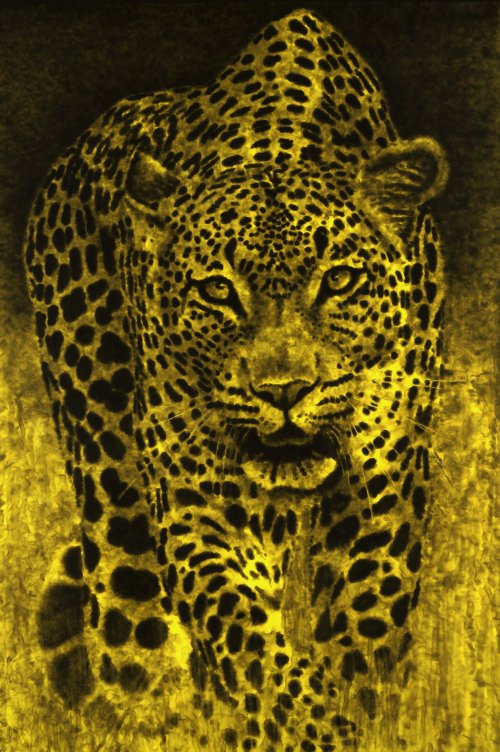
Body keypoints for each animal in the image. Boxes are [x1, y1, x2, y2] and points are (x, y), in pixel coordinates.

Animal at [24, 8, 448, 751]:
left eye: (339, 280)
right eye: (218, 291)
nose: (283, 392)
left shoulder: (385, 481)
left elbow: (366, 618)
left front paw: (357, 710)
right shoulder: (203, 500)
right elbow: (244, 635)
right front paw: (306, 725)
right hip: (112, 490)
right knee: (135, 651)